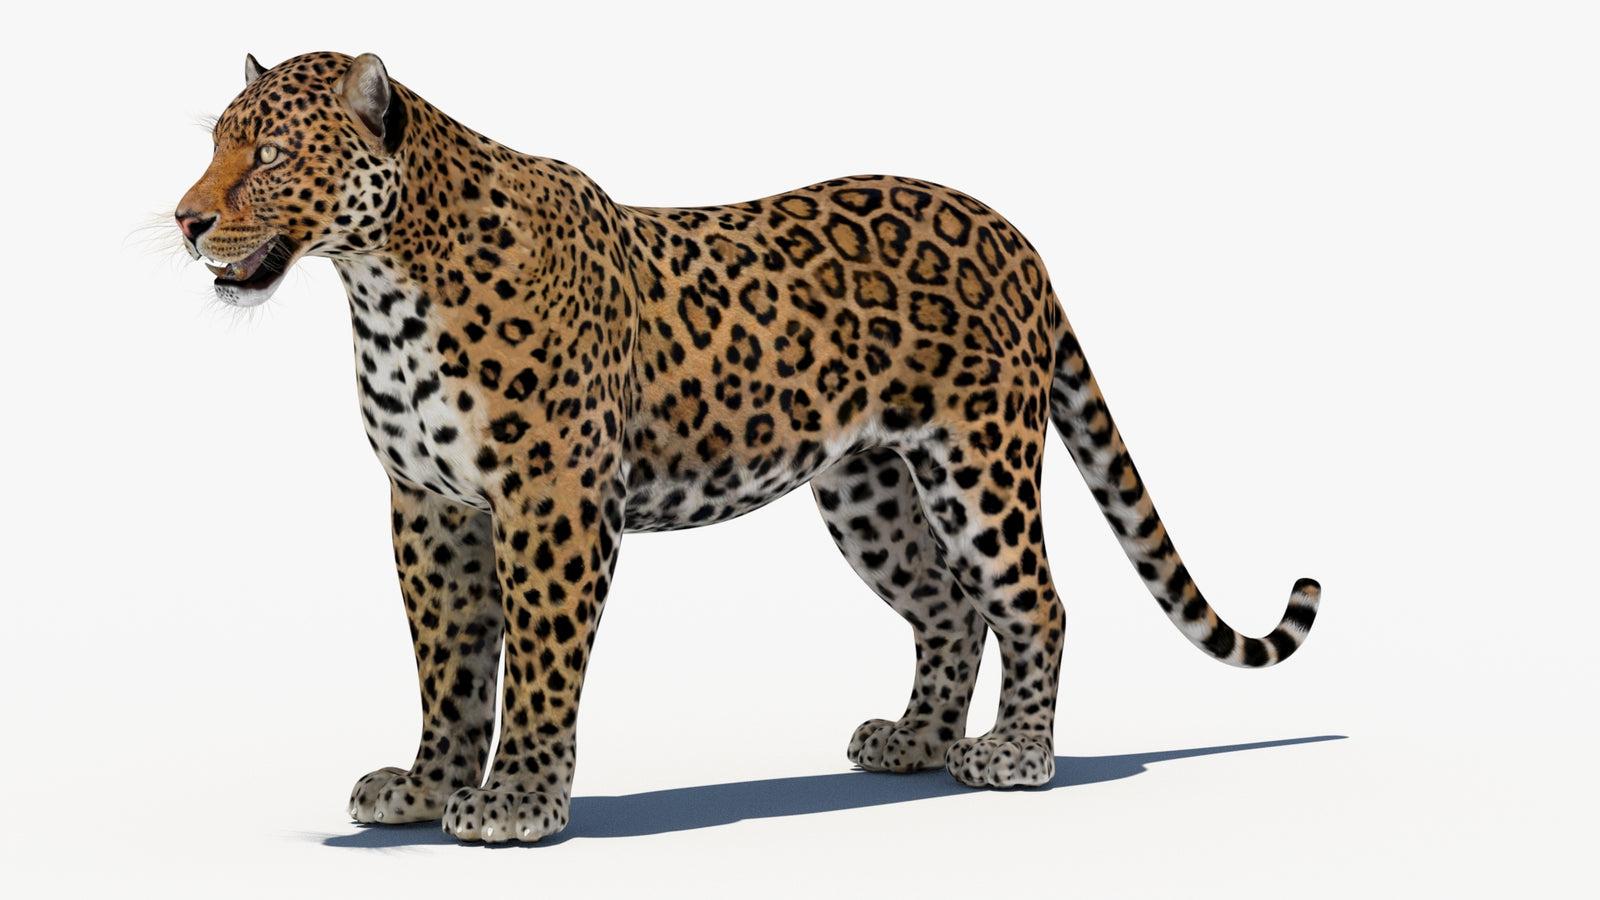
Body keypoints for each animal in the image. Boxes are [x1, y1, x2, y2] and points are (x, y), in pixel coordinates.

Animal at [175, 51, 1320, 844]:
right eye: (215, 144)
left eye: (270, 156)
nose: (185, 220)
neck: (381, 284)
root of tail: (1011, 231)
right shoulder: (431, 506)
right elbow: (448, 659)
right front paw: (427, 785)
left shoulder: (553, 503)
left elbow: (540, 660)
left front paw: (518, 803)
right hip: (867, 492)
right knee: (949, 609)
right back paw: (916, 743)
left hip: (980, 463)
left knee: (1034, 601)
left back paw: (1015, 756)